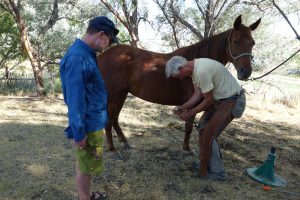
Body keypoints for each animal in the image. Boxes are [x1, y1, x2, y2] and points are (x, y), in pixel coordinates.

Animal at [98, 15, 260, 156]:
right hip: (113, 95)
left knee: (115, 118)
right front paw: (187, 149)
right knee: (109, 120)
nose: (245, 72)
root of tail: (102, 55)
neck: (196, 62)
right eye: (236, 41)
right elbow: (188, 127)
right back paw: (113, 150)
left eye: (252, 43)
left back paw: (124, 142)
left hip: (122, 94)